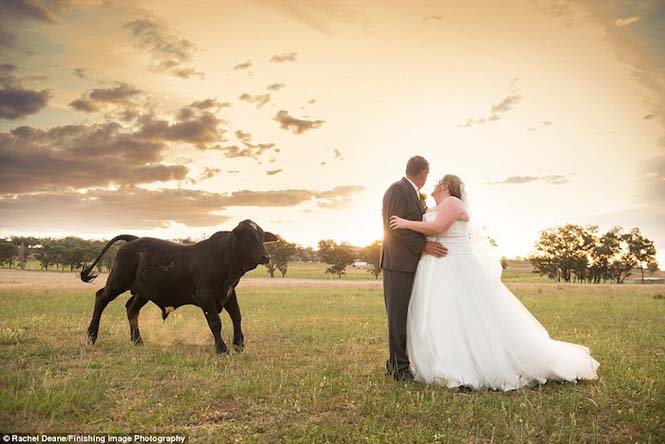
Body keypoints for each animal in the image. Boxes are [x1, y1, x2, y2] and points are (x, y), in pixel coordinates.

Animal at [80, 219, 278, 354]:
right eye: (247, 237)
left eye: (262, 237)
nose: (266, 257)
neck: (223, 257)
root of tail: (133, 240)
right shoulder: (205, 297)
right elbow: (216, 322)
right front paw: (222, 349)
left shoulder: (229, 293)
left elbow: (237, 317)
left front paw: (239, 345)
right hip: (116, 282)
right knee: (101, 298)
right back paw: (91, 336)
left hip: (143, 292)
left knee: (131, 308)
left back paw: (137, 341)